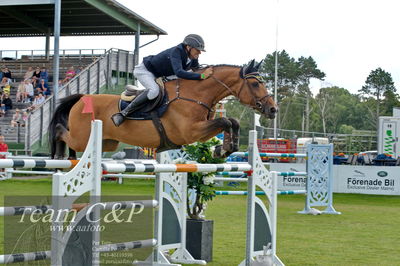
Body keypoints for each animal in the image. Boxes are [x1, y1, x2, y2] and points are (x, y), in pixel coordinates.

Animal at [47, 59, 278, 159]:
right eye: (255, 84)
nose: (273, 109)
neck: (196, 94)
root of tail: (82, 98)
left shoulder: (200, 132)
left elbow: (232, 122)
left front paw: (225, 148)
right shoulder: (191, 132)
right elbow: (224, 121)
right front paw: (223, 149)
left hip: (107, 143)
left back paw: (68, 158)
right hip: (83, 136)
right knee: (60, 132)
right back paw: (58, 155)